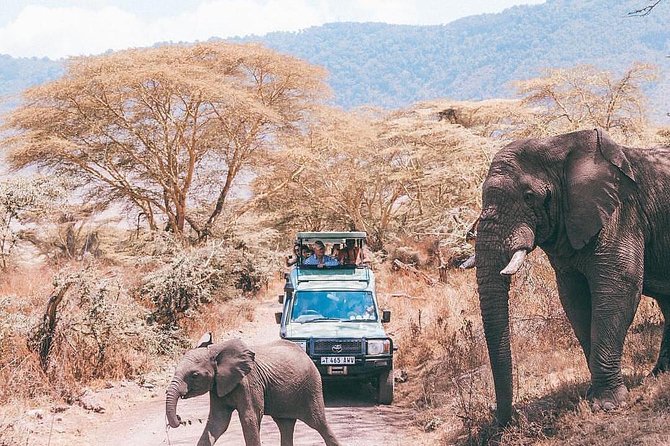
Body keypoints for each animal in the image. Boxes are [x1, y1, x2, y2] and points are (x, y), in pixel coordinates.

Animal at [166, 333, 340, 446]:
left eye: (194, 375)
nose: (180, 418)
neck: (216, 351)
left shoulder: (249, 383)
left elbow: (250, 418)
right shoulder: (217, 387)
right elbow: (218, 422)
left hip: (311, 387)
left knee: (319, 423)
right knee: (285, 424)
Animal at [471, 128, 670, 425]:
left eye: (529, 196)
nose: (506, 421)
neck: (559, 146)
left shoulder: (622, 213)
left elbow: (618, 288)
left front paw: (607, 404)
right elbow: (574, 299)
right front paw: (592, 396)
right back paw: (657, 376)